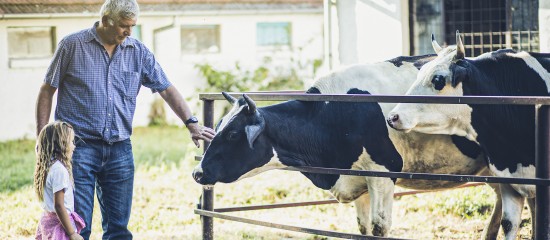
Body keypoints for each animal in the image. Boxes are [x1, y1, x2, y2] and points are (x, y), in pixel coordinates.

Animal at [194, 55, 504, 237]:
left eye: (233, 134)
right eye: (218, 126)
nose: (198, 172)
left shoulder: (383, 173)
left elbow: (379, 227)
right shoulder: (358, 179)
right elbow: (363, 228)